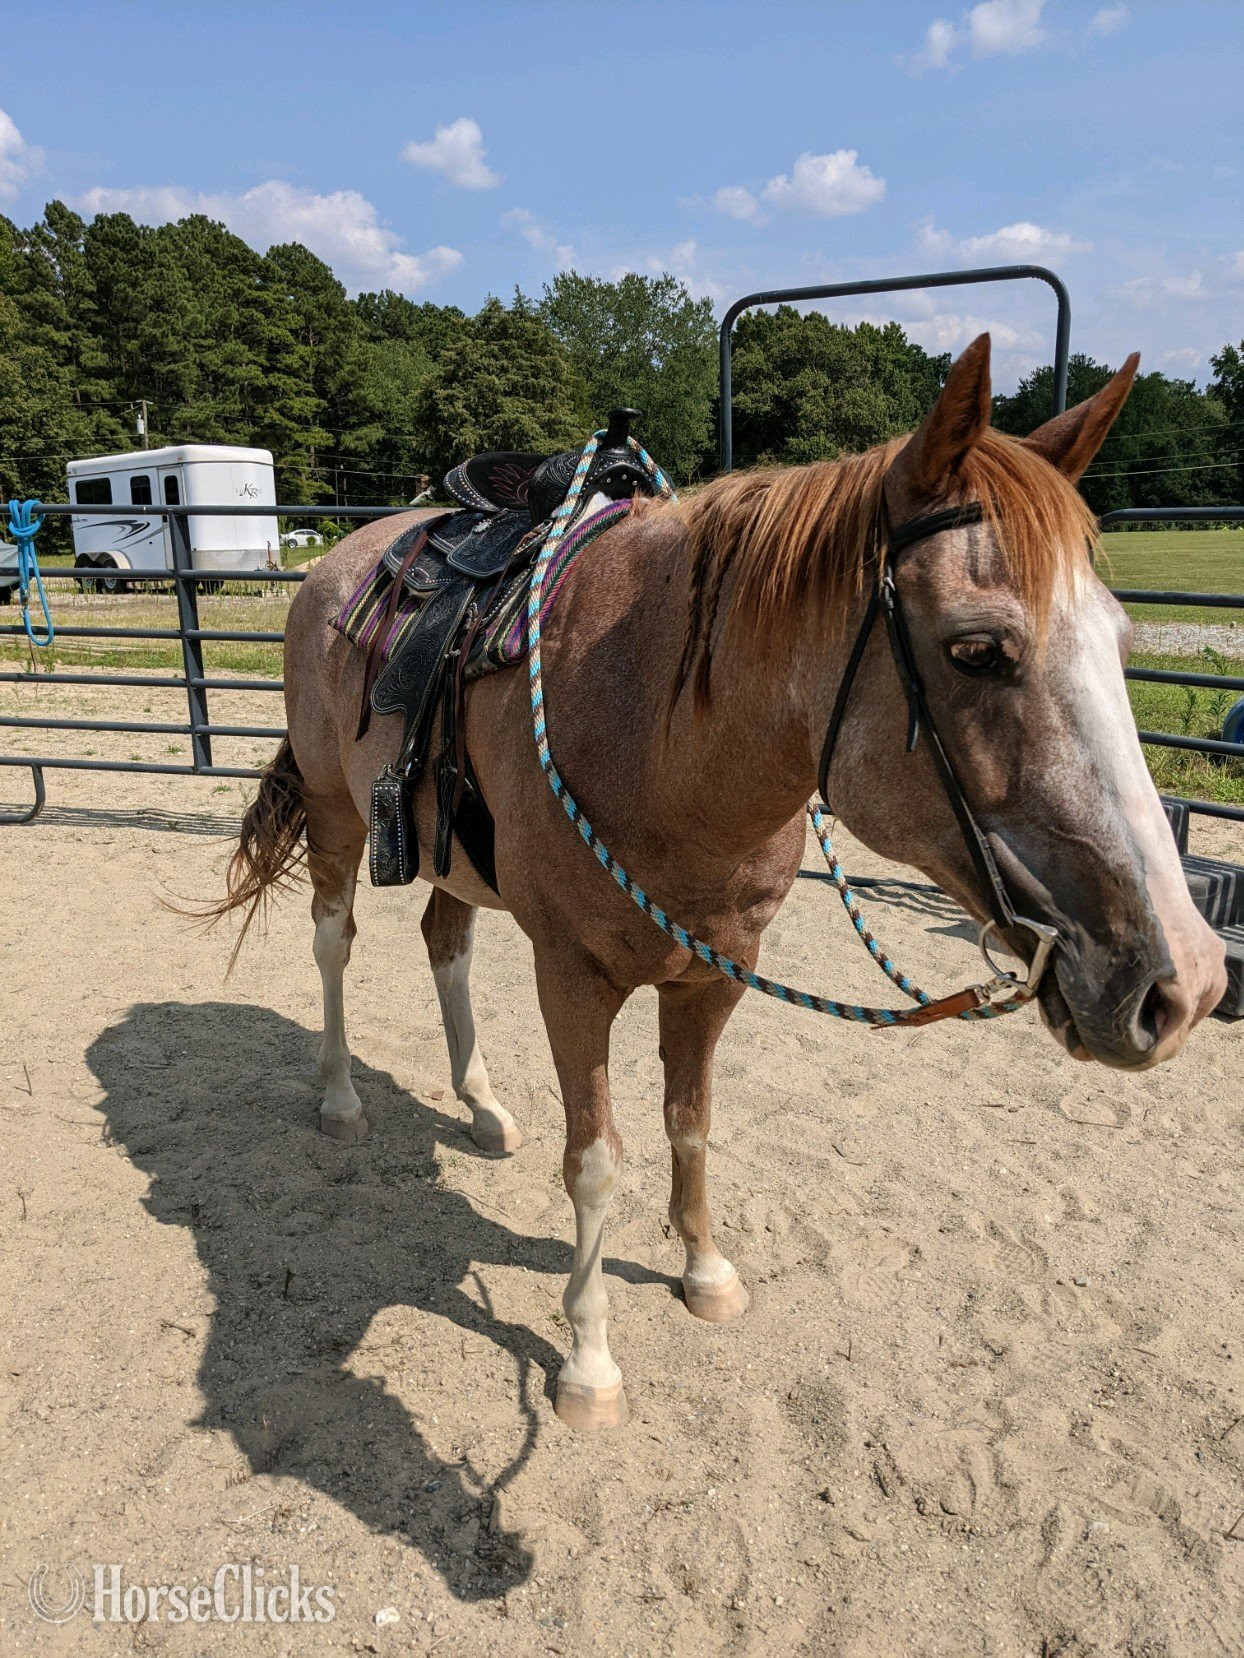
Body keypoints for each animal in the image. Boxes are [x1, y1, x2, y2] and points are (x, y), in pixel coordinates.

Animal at [208, 334, 1226, 1431]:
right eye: (977, 650)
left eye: (1120, 643)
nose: (1184, 981)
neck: (660, 731)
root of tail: (336, 561)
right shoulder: (572, 978)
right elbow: (596, 1159)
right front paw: (589, 1360)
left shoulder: (715, 972)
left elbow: (689, 1124)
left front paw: (703, 1269)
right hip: (336, 812)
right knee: (334, 940)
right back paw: (340, 1096)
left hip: (454, 857)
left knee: (447, 942)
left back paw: (481, 1110)